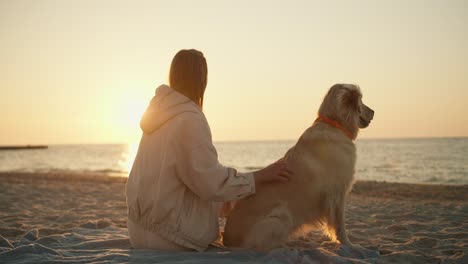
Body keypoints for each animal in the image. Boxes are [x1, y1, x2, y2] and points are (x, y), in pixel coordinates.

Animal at [225, 83, 374, 251]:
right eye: (361, 100)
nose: (373, 112)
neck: (333, 125)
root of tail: (226, 241)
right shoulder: (337, 193)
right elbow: (340, 225)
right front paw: (350, 245)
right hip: (281, 214)